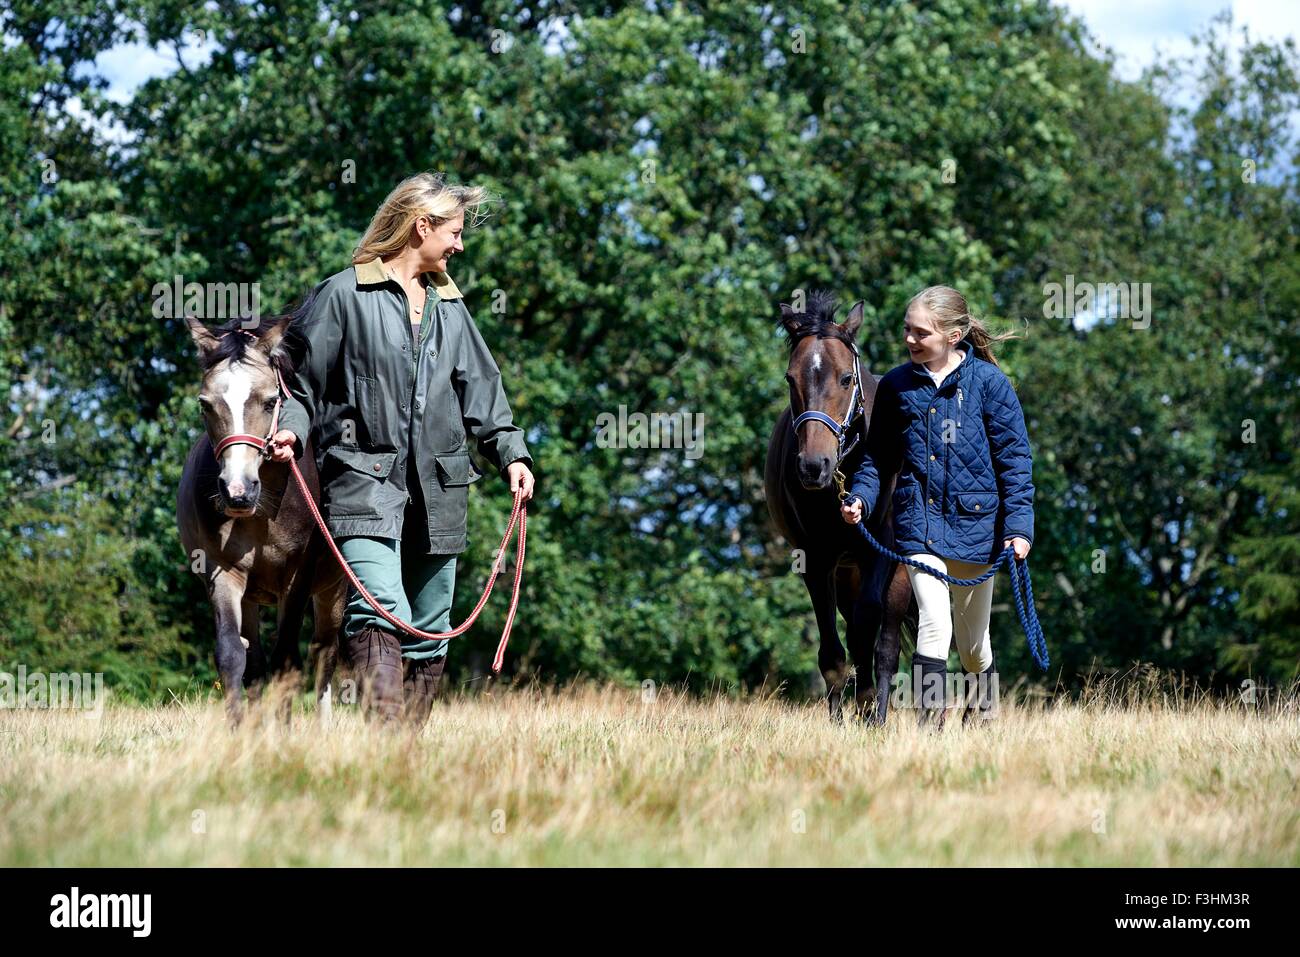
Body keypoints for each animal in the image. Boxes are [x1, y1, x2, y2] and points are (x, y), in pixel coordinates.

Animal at [175, 310, 345, 722]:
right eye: (205, 404)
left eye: (270, 402)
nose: (238, 490)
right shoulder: (221, 573)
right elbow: (234, 656)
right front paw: (240, 729)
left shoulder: (297, 581)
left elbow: (287, 661)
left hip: (333, 589)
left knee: (324, 653)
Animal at [759, 291, 915, 722]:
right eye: (790, 378)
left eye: (846, 378)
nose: (814, 465)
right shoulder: (816, 559)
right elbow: (832, 650)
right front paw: (838, 718)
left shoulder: (879, 553)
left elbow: (868, 633)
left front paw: (867, 708)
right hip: (846, 574)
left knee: (885, 644)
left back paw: (876, 713)